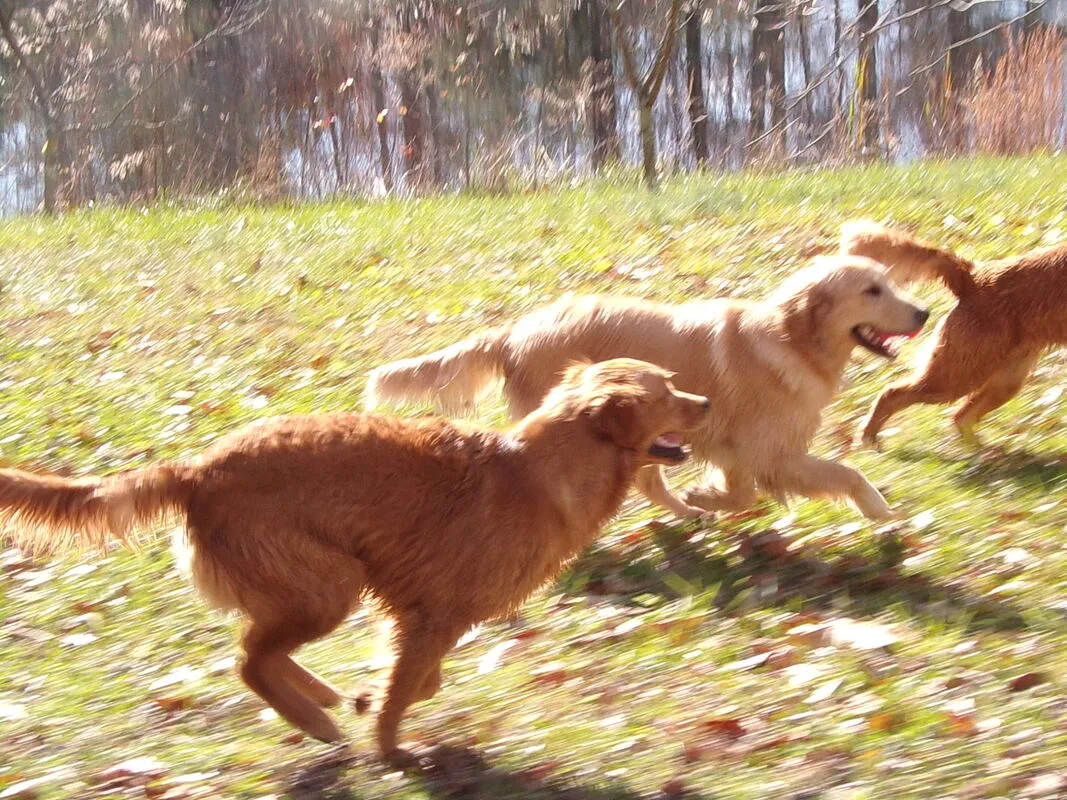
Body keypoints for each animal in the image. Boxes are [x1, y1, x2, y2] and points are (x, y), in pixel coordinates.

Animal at [0, 358, 708, 763]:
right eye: (669, 391)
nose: (706, 403)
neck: (540, 470)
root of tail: (199, 472)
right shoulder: (433, 614)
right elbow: (404, 693)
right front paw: (394, 751)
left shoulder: (412, 610)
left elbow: (415, 679)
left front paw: (371, 696)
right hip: (329, 584)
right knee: (249, 659)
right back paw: (315, 720)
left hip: (325, 586)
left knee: (263, 652)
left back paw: (322, 698)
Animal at [364, 253, 926, 522]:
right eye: (872, 290)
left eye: (890, 283)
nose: (923, 312)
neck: (792, 338)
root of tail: (514, 332)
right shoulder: (771, 453)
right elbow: (849, 474)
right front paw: (883, 513)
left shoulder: (739, 450)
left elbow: (743, 491)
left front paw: (706, 498)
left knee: (651, 484)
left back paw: (688, 514)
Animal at [840, 219, 1067, 448]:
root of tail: (972, 278)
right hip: (954, 378)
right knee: (893, 394)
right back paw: (868, 438)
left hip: (1002, 381)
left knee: (961, 417)